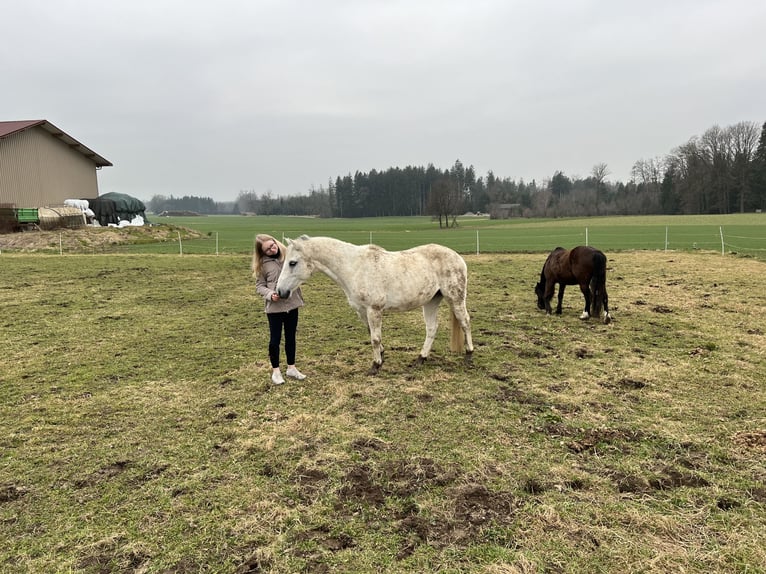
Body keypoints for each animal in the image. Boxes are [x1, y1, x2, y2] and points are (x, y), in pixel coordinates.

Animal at [272, 236, 472, 376]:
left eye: (292, 263)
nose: (280, 291)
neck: (354, 268)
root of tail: (457, 257)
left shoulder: (374, 309)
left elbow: (375, 338)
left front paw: (375, 366)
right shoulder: (362, 311)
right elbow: (372, 335)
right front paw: (381, 356)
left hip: (455, 298)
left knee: (465, 322)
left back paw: (469, 356)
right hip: (431, 301)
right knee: (432, 328)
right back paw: (420, 359)